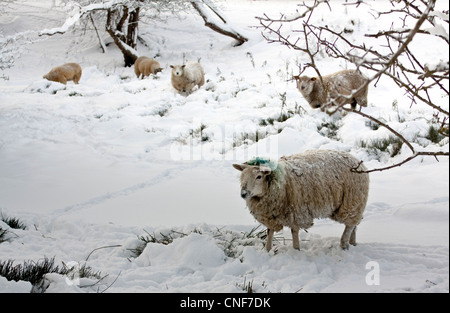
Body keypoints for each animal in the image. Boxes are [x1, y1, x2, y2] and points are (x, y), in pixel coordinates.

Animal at [232, 149, 370, 251]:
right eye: (243, 175)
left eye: (259, 176)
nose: (243, 193)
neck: (280, 182)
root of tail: (358, 161)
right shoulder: (270, 214)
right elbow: (269, 231)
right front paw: (267, 250)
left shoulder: (296, 212)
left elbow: (294, 231)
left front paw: (296, 250)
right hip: (352, 204)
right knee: (354, 224)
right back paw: (352, 243)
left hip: (351, 201)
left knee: (349, 224)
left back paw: (344, 244)